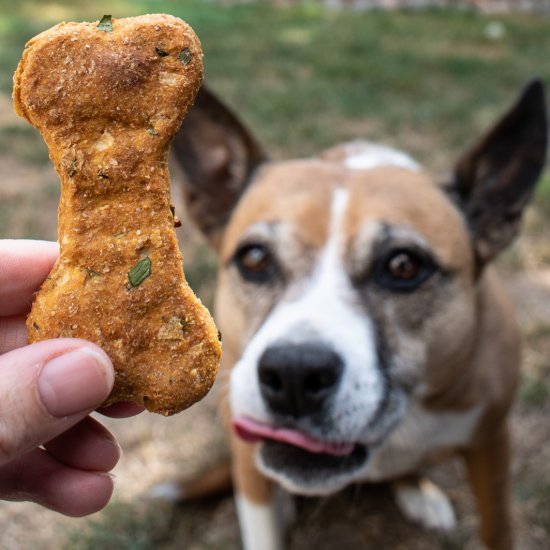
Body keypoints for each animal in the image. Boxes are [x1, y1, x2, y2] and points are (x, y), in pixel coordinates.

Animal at [158, 78, 548, 550]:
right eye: (254, 259)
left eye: (404, 266)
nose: (294, 374)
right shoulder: (249, 464)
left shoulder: (491, 443)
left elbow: (497, 528)